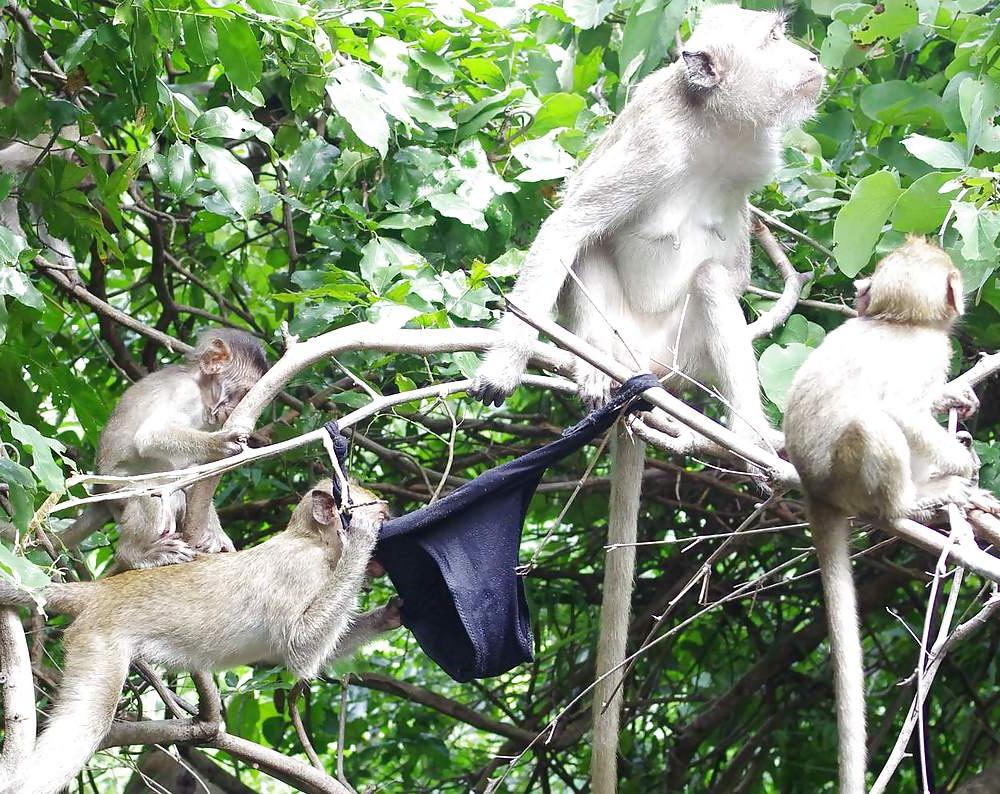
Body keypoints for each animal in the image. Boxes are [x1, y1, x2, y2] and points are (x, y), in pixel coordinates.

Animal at [0, 480, 401, 794]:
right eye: (384, 517)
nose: (386, 529)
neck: (314, 542)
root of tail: (101, 590)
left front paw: (392, 613)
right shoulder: (300, 571)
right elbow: (299, 650)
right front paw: (362, 537)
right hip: (99, 638)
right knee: (86, 723)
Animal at [92, 328, 269, 570]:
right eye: (243, 394)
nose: (234, 409)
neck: (202, 391)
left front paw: (216, 534)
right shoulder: (184, 394)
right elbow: (151, 436)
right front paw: (218, 443)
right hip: (117, 487)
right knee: (151, 492)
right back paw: (135, 555)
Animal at [469, 7, 825, 788]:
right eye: (776, 39)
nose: (813, 56)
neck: (713, 129)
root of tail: (651, 371)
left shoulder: (754, 163)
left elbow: (732, 266)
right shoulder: (654, 141)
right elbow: (570, 225)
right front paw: (503, 363)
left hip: (680, 356)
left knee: (711, 284)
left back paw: (747, 438)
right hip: (621, 338)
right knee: (591, 249)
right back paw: (596, 378)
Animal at [783, 237, 980, 794]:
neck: (899, 321)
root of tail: (814, 489)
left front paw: (955, 397)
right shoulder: (926, 353)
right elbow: (905, 413)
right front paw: (964, 464)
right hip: (848, 475)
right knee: (876, 423)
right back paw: (912, 501)